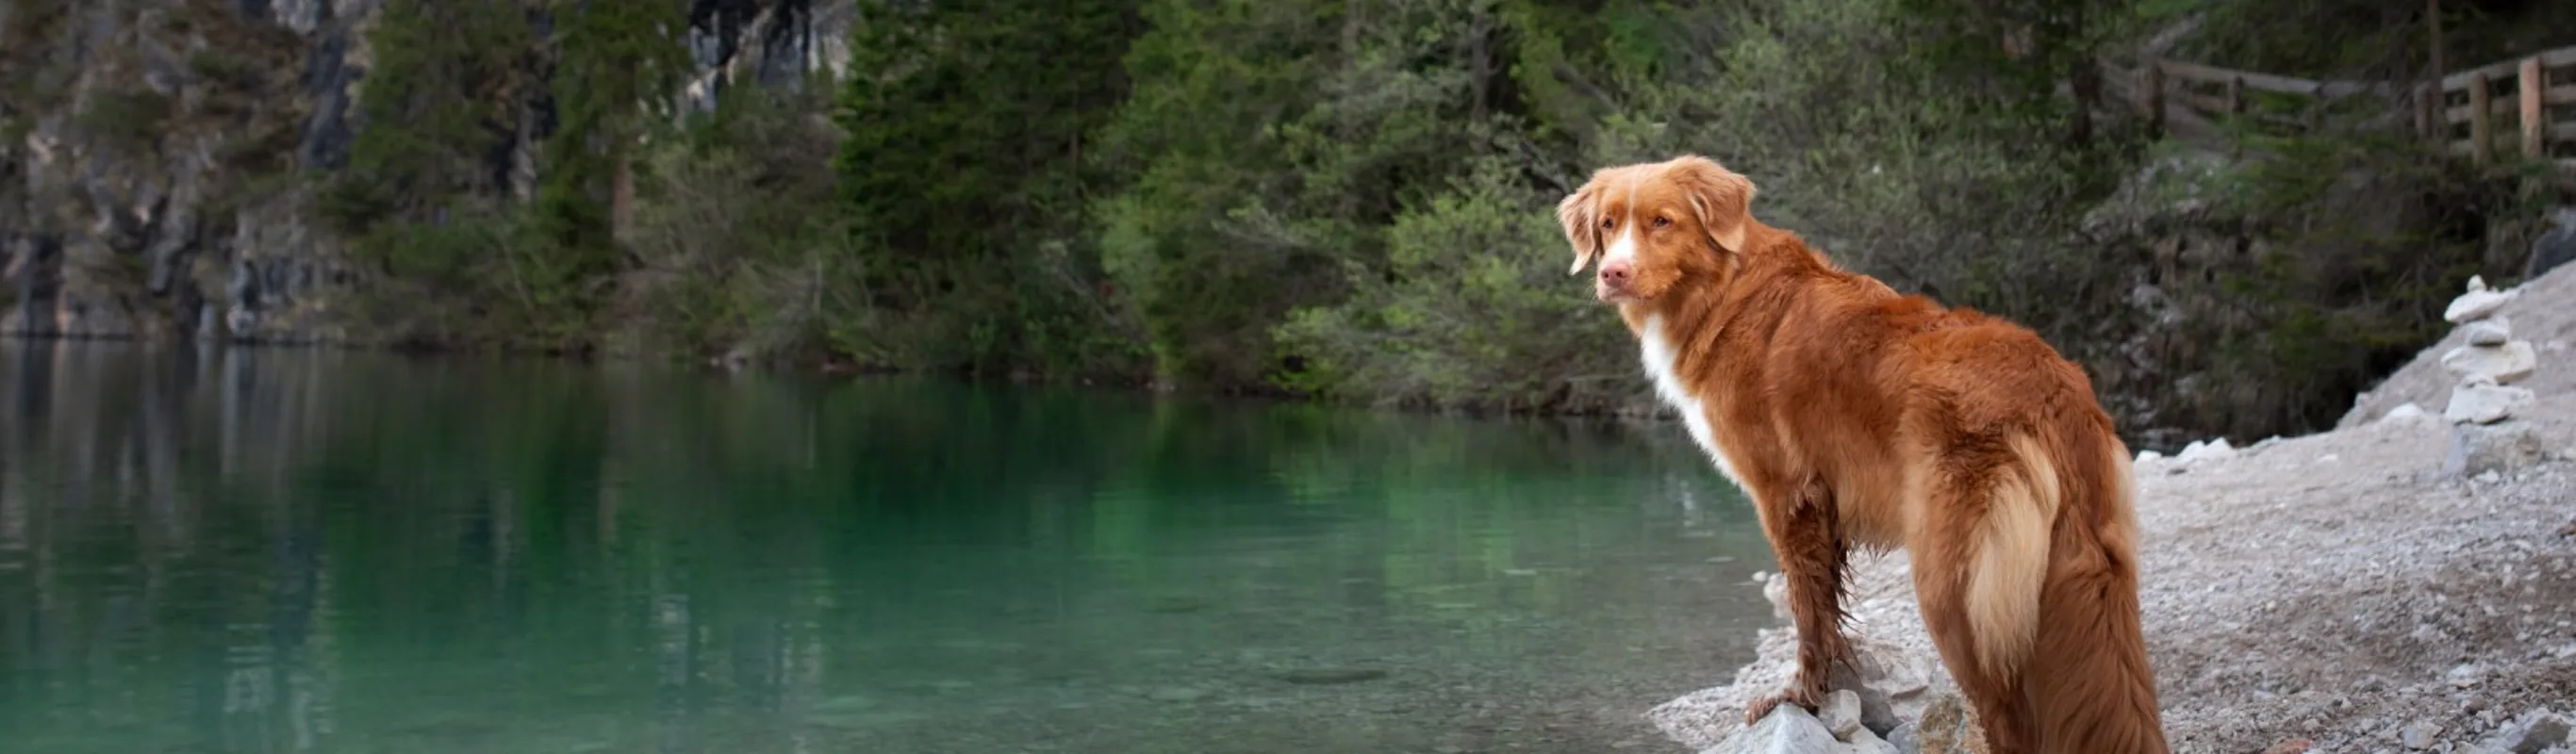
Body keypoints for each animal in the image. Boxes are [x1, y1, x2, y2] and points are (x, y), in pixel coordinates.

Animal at [1545, 156, 2173, 746]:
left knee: (2008, 716)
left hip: (1957, 588)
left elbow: (1806, 610)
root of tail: (2052, 388)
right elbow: (1828, 610)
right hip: (2090, 584)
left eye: (1662, 221)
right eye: (1608, 224)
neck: (1723, 288)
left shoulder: (1786, 494)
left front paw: (1798, 696)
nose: (1614, 272)